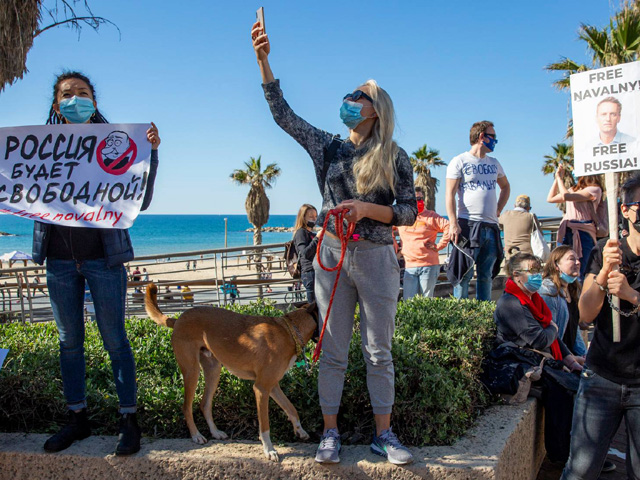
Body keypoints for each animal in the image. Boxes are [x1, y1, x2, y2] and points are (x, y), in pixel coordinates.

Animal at [144, 284, 316, 460]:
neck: (290, 331)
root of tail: (178, 319)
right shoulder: (261, 388)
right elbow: (265, 426)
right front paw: (269, 449)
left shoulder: (272, 386)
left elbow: (291, 408)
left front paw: (300, 430)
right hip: (192, 370)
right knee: (186, 406)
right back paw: (196, 435)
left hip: (213, 370)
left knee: (205, 404)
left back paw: (215, 432)